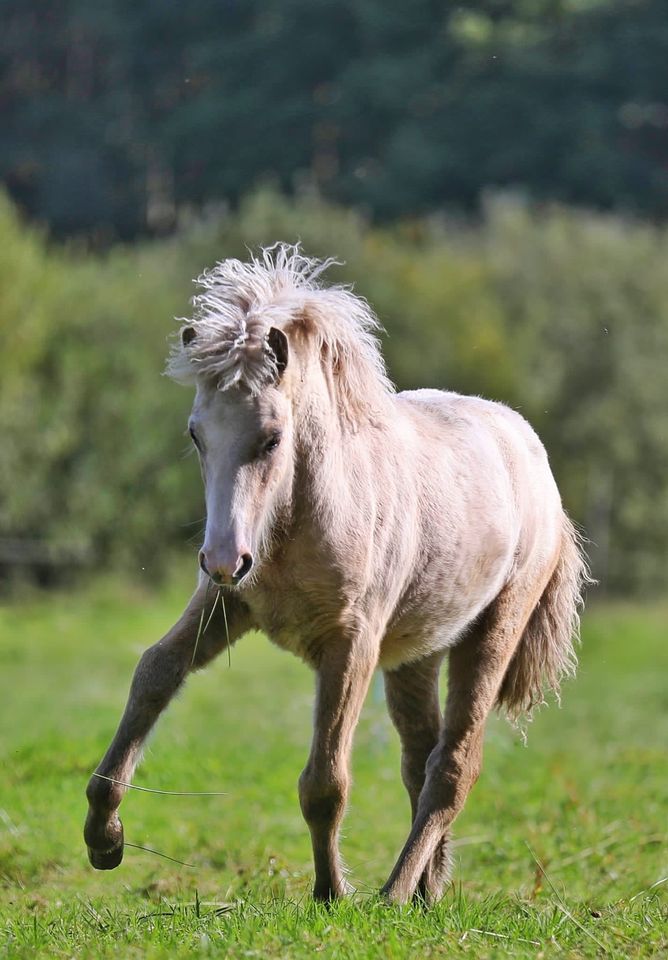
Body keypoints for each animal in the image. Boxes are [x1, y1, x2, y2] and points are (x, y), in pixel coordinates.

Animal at [85, 244, 588, 904]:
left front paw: (331, 892)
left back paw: (395, 894)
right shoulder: (227, 606)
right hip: (417, 651)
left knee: (453, 765)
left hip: (494, 630)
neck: (295, 520)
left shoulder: (350, 643)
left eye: (271, 438)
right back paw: (426, 892)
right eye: (197, 435)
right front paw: (104, 836)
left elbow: (325, 782)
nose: (222, 560)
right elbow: (154, 672)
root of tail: (531, 451)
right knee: (420, 758)